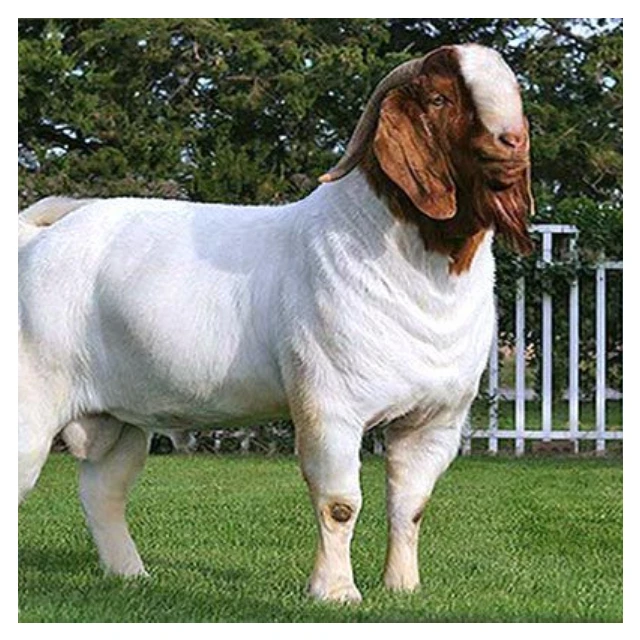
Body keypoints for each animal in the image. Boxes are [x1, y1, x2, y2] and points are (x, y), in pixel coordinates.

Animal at [18, 44, 532, 602]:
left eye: (514, 91)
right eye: (440, 98)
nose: (512, 141)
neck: (423, 274)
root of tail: (36, 236)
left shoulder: (436, 419)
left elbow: (410, 506)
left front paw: (403, 589)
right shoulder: (330, 405)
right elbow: (340, 503)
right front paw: (336, 592)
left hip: (121, 415)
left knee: (103, 490)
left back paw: (131, 575)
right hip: (31, 399)